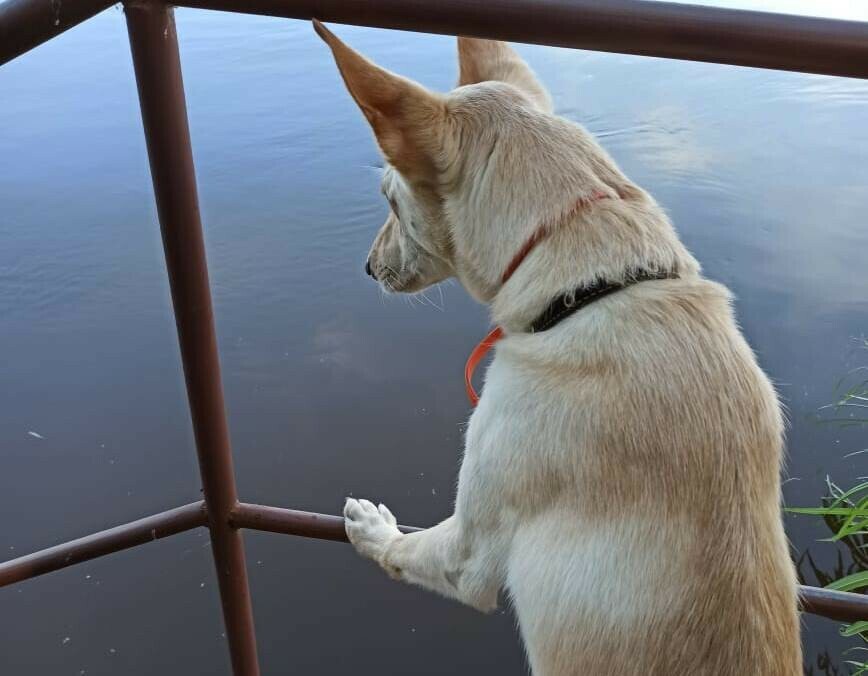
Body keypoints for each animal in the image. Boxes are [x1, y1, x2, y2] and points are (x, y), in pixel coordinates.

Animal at [312, 21, 800, 676]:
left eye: (391, 199)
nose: (368, 268)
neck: (595, 285)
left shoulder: (468, 548)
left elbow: (405, 551)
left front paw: (372, 527)